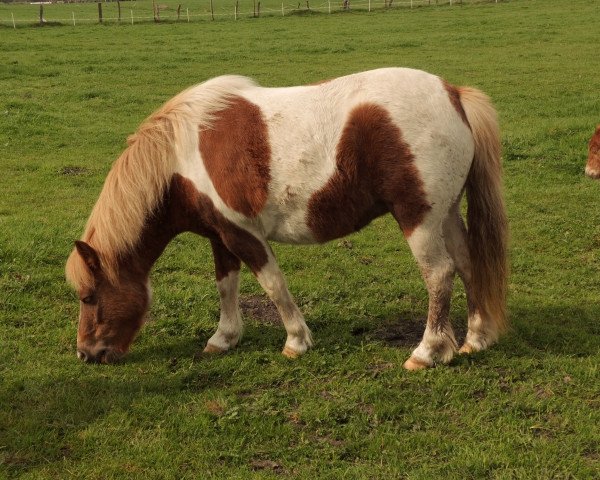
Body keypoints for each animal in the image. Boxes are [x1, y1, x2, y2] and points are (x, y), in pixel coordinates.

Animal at [64, 67, 506, 370]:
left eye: (88, 296)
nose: (86, 353)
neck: (182, 156)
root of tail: (453, 94)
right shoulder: (219, 235)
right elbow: (226, 285)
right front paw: (224, 338)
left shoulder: (243, 233)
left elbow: (273, 284)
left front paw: (296, 341)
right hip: (446, 215)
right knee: (468, 264)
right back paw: (476, 338)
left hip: (419, 219)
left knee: (439, 274)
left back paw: (427, 352)